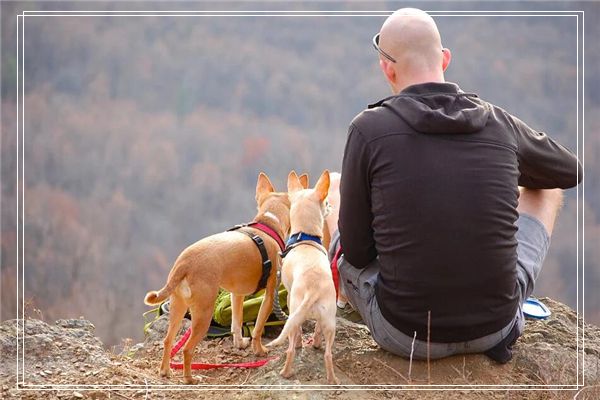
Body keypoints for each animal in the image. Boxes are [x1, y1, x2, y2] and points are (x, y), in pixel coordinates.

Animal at [143, 173, 288, 384]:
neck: (267, 224)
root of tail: (184, 264)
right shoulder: (270, 294)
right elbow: (259, 327)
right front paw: (259, 350)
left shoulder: (237, 294)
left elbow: (237, 322)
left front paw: (240, 343)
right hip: (203, 314)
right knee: (187, 349)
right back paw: (190, 378)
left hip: (178, 307)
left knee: (168, 340)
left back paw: (165, 371)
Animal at [266, 169, 340, 384]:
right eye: (326, 202)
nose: (330, 206)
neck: (305, 238)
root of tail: (313, 290)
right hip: (330, 320)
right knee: (327, 353)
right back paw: (332, 379)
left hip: (294, 311)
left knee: (291, 347)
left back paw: (286, 372)